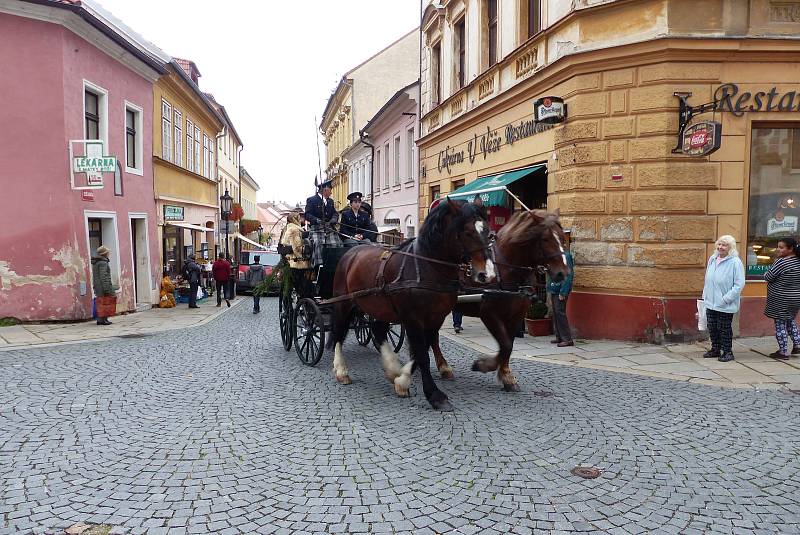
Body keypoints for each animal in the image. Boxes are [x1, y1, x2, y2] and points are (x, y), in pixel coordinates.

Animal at [326, 199, 490, 412]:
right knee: (339, 332)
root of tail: (351, 252)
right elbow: (422, 354)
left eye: (487, 231)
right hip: (343, 303)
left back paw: (391, 369)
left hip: (379, 307)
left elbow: (423, 349)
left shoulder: (435, 318)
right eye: (468, 232)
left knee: (377, 330)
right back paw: (341, 371)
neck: (427, 268)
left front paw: (401, 380)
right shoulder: (412, 318)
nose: (485, 273)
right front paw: (435, 395)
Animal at [432, 211, 568, 392]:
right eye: (545, 239)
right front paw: (484, 365)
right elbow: (505, 345)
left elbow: (508, 345)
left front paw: (505, 375)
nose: (562, 273)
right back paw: (443, 367)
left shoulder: (516, 315)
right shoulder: (489, 314)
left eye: (562, 238)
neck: (505, 270)